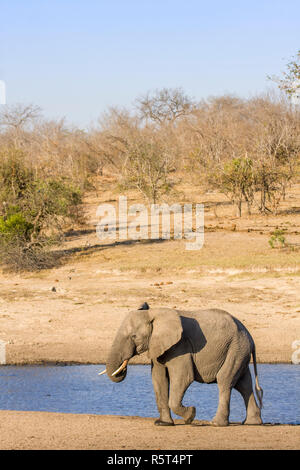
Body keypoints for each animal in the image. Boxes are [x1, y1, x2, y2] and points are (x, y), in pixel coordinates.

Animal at [100, 304, 262, 426]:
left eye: (133, 336)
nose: (122, 368)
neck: (153, 314)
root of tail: (251, 338)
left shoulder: (180, 346)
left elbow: (183, 377)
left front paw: (191, 415)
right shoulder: (158, 346)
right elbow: (159, 379)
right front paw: (163, 424)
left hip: (236, 348)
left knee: (225, 381)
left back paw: (216, 423)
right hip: (239, 351)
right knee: (244, 384)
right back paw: (252, 423)